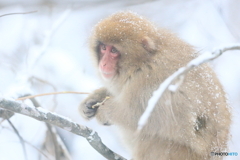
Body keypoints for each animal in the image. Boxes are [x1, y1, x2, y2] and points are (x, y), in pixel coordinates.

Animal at [79, 11, 231, 160]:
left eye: (114, 51)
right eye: (103, 48)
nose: (103, 64)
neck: (142, 62)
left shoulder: (149, 80)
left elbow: (140, 116)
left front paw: (105, 112)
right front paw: (91, 101)